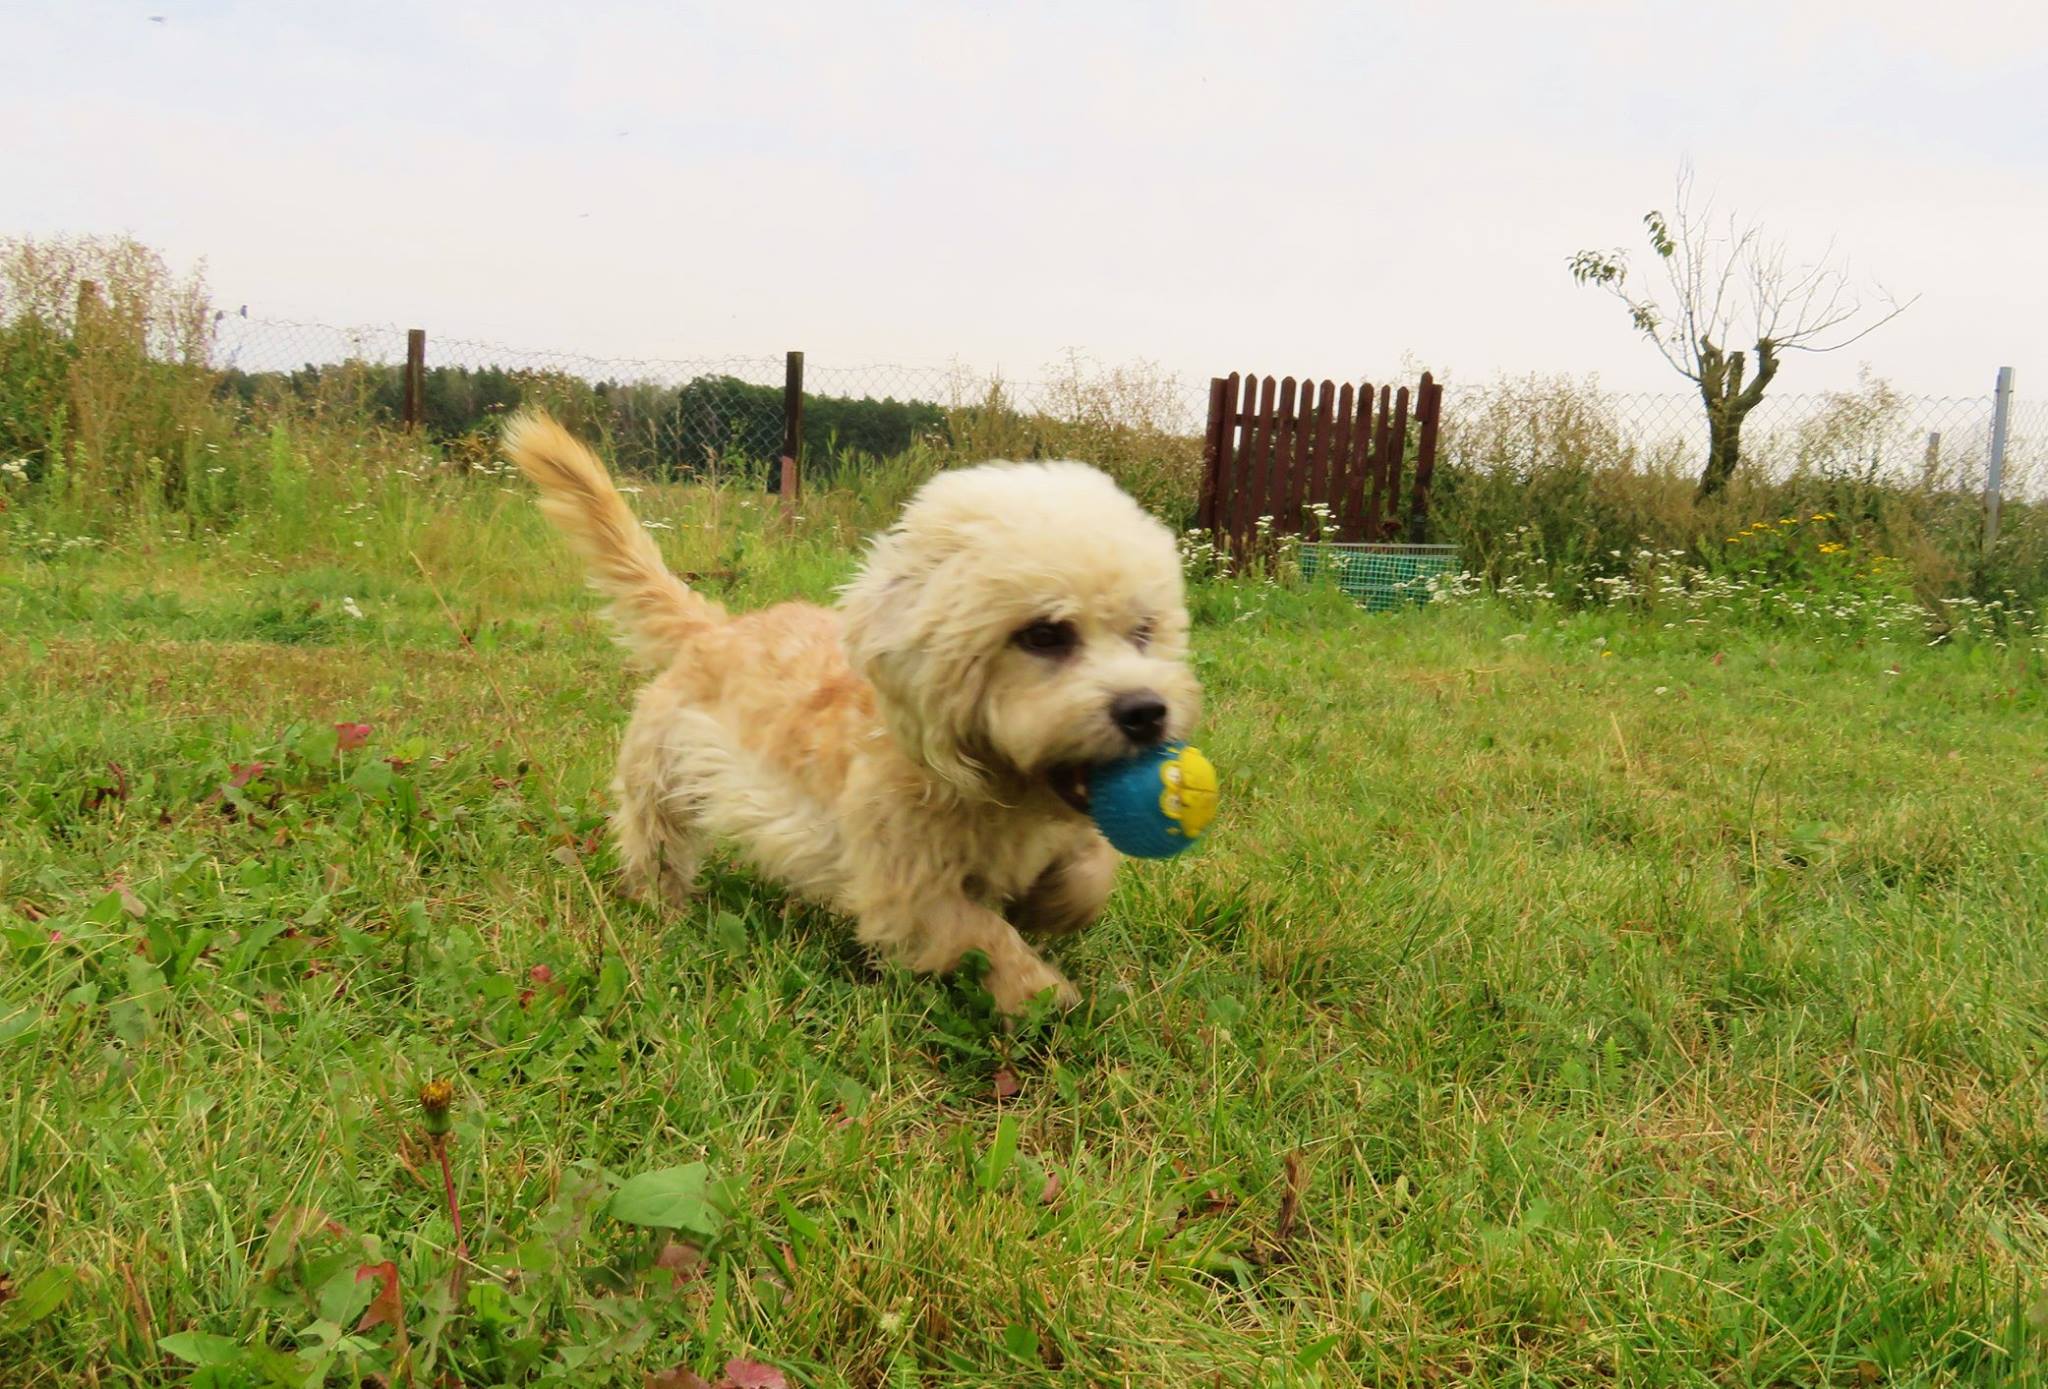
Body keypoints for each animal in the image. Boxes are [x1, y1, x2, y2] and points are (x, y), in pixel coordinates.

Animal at [501, 411, 1200, 1012]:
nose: (1146, 712)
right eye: (1045, 634)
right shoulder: (904, 889)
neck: (986, 786)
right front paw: (1041, 995)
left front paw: (1054, 908)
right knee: (655, 849)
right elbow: (982, 933)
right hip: (663, 781)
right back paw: (663, 910)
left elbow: (1092, 868)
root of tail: (714, 628)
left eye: (1143, 630)